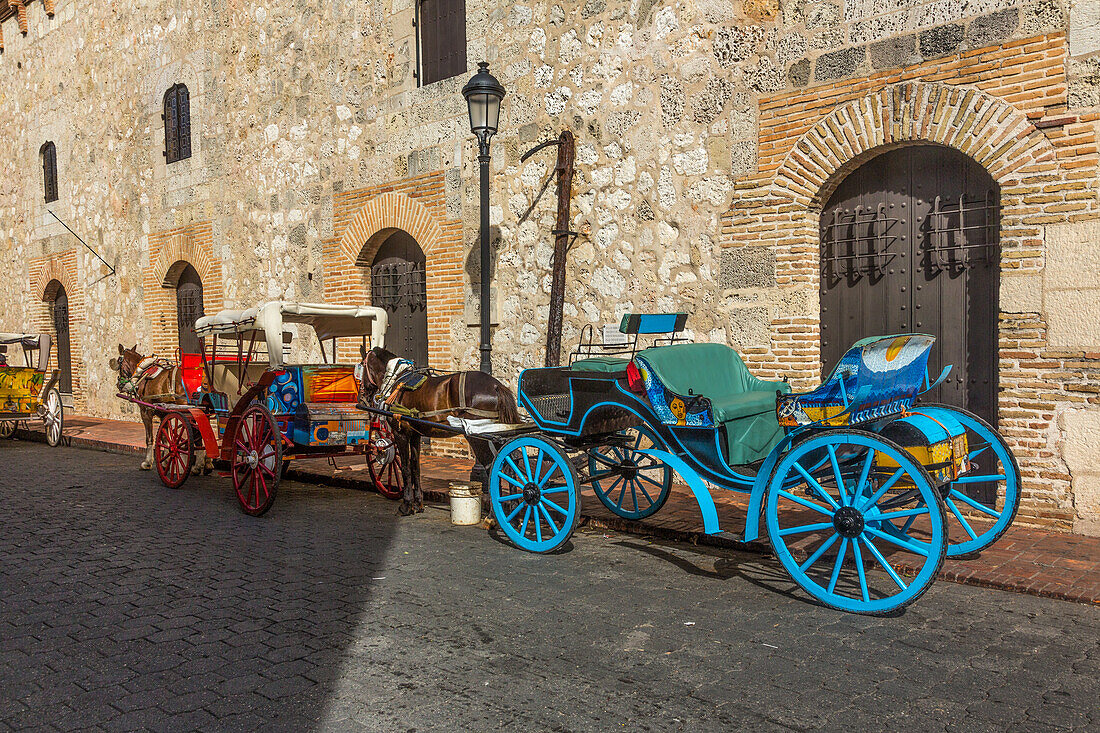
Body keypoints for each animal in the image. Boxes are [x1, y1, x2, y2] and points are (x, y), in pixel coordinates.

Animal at [108, 343, 211, 471]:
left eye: (119, 362)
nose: (120, 385)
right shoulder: (163, 413)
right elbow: (164, 437)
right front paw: (166, 460)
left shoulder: (145, 411)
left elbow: (150, 438)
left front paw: (148, 462)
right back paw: (205, 463)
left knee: (195, 433)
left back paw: (195, 465)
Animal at [354, 347, 521, 512]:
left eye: (361, 366)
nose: (362, 397)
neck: (397, 378)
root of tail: (496, 386)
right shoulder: (415, 434)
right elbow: (415, 467)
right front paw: (418, 503)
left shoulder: (400, 433)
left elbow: (405, 468)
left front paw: (407, 504)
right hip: (498, 434)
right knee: (510, 463)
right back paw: (513, 507)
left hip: (479, 437)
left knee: (492, 466)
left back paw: (493, 514)